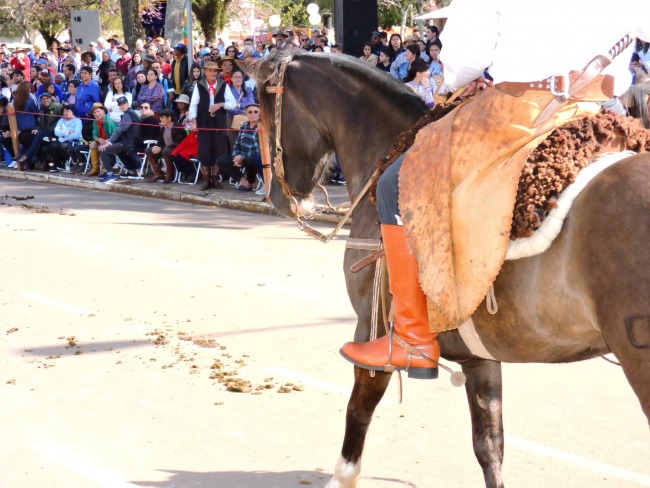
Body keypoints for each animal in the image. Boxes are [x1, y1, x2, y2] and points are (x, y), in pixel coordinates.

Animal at [240, 50, 648, 488]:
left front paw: (343, 476)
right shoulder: (480, 356)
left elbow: (359, 409)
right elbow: (490, 446)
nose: (278, 197)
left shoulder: (373, 330)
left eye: (263, 114)